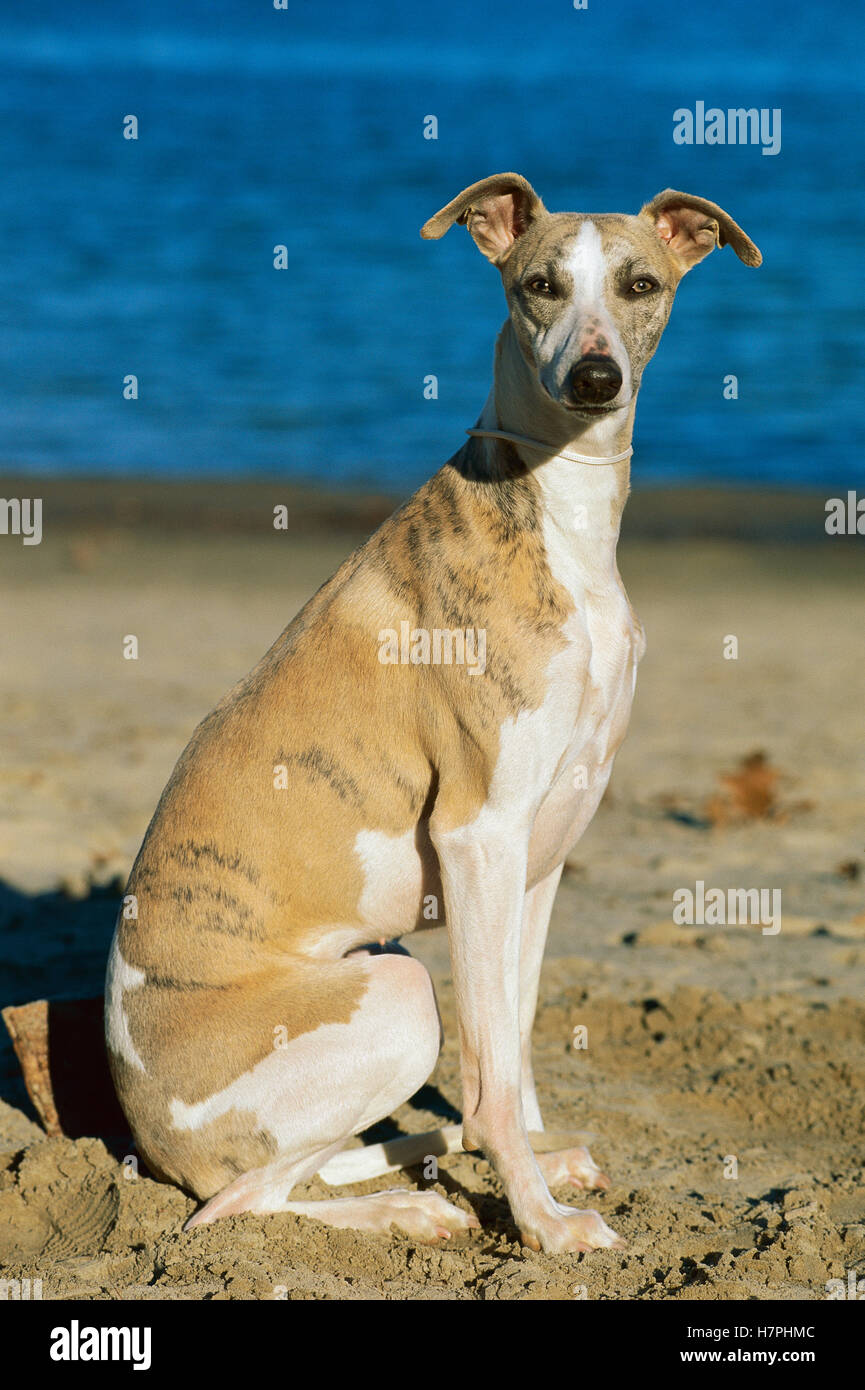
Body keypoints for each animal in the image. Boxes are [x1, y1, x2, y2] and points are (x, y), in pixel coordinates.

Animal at [104, 176, 762, 1262]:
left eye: (641, 284)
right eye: (538, 284)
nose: (595, 379)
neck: (556, 515)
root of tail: (148, 1131)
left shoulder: (540, 848)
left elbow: (516, 1043)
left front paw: (539, 1162)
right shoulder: (477, 833)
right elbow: (491, 1078)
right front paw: (540, 1223)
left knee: (312, 1163)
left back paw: (438, 1160)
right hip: (397, 995)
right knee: (236, 1202)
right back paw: (408, 1207)